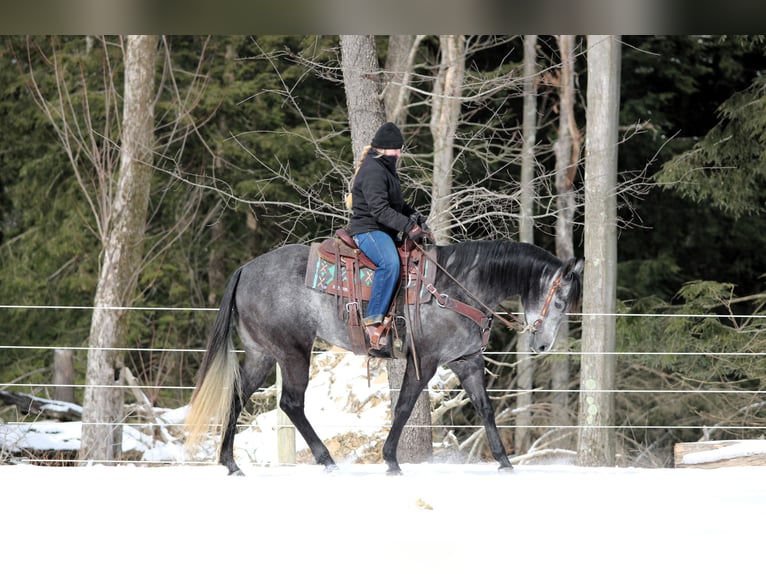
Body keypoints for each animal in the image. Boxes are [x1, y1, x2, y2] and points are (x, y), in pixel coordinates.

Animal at [186, 240, 584, 476]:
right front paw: (391, 459)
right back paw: (327, 460)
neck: (456, 288)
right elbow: (405, 406)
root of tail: (245, 270)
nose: (543, 345)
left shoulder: (466, 361)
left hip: (262, 354)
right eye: (560, 301)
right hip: (293, 351)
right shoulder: (425, 361)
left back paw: (231, 463)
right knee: (291, 403)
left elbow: (486, 409)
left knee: (238, 397)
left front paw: (504, 462)